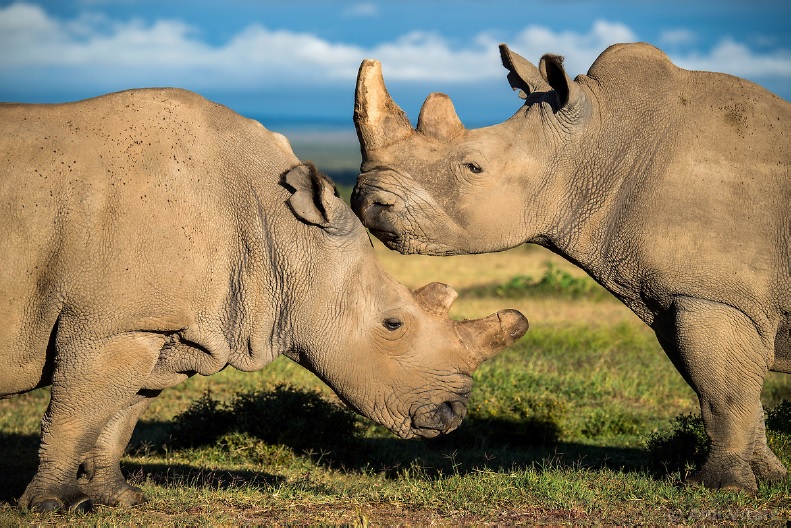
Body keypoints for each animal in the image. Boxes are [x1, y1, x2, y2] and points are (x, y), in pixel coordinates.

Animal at [0, 88, 529, 512]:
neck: (284, 236)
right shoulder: (113, 324)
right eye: (392, 325)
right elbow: (74, 415)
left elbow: (120, 416)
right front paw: (48, 506)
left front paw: (121, 499)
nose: (452, 414)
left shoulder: (156, 327)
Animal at [351, 42, 790, 493]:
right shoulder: (681, 298)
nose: (366, 202)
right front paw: (769, 478)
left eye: (473, 168)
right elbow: (733, 392)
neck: (598, 145)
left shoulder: (713, 295)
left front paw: (718, 487)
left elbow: (723, 393)